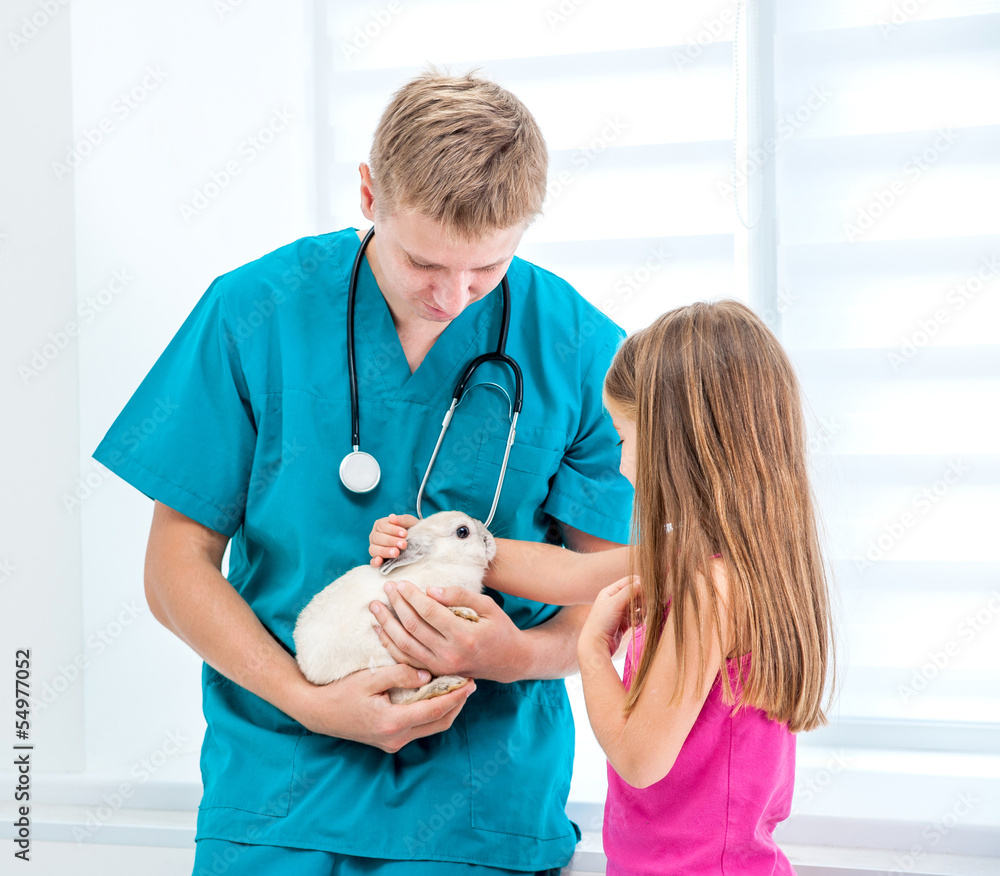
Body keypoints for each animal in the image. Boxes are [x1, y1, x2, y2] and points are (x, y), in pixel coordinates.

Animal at [292, 512, 496, 704]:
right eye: (463, 531)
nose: (490, 540)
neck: (443, 561)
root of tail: (309, 671)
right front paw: (466, 613)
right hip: (383, 659)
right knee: (403, 700)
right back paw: (446, 684)